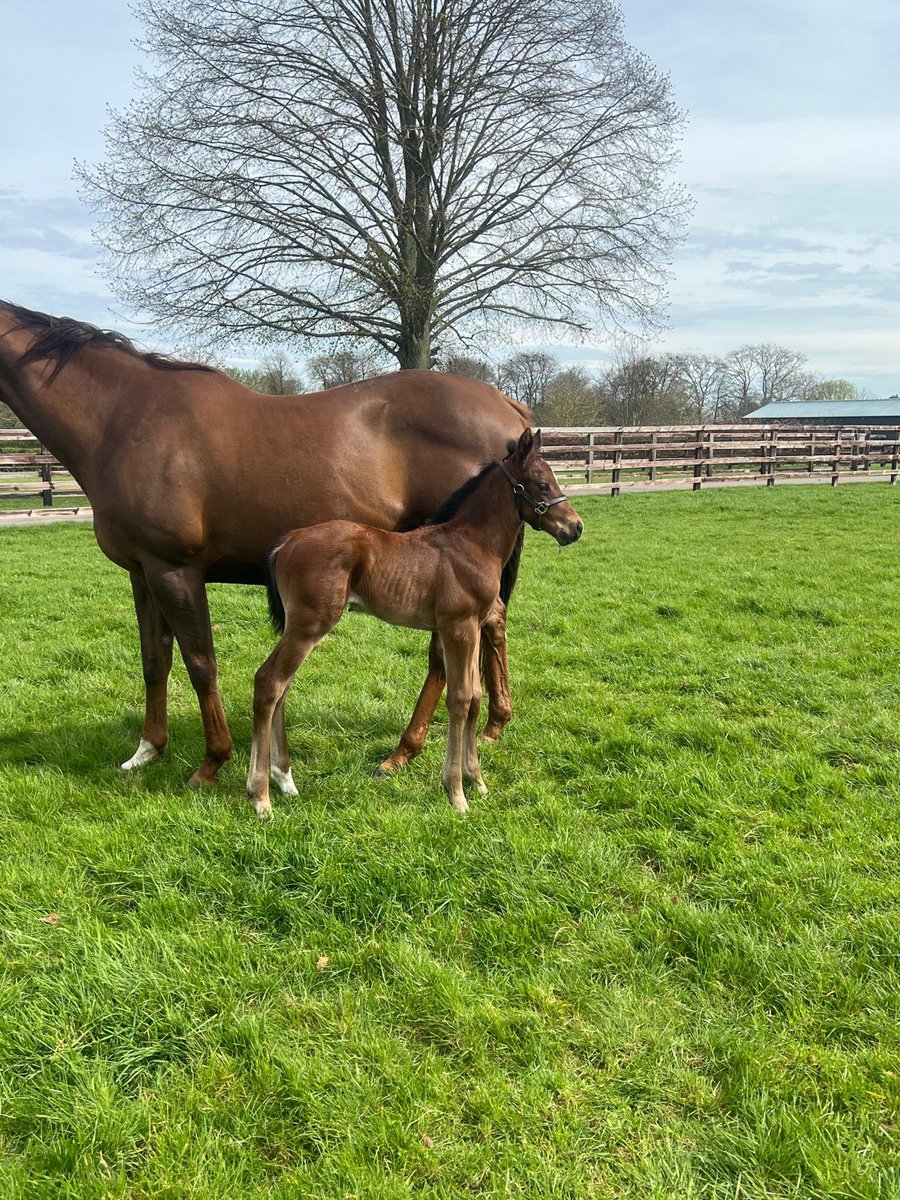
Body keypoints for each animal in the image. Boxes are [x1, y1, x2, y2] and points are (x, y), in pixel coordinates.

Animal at [247, 429, 585, 816]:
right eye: (543, 484)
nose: (576, 527)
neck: (470, 545)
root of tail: (289, 540)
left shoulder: (469, 628)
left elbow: (475, 698)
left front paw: (477, 781)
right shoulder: (458, 627)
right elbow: (460, 699)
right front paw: (456, 792)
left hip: (301, 627)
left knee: (282, 686)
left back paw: (285, 781)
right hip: (309, 625)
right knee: (270, 681)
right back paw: (261, 796)